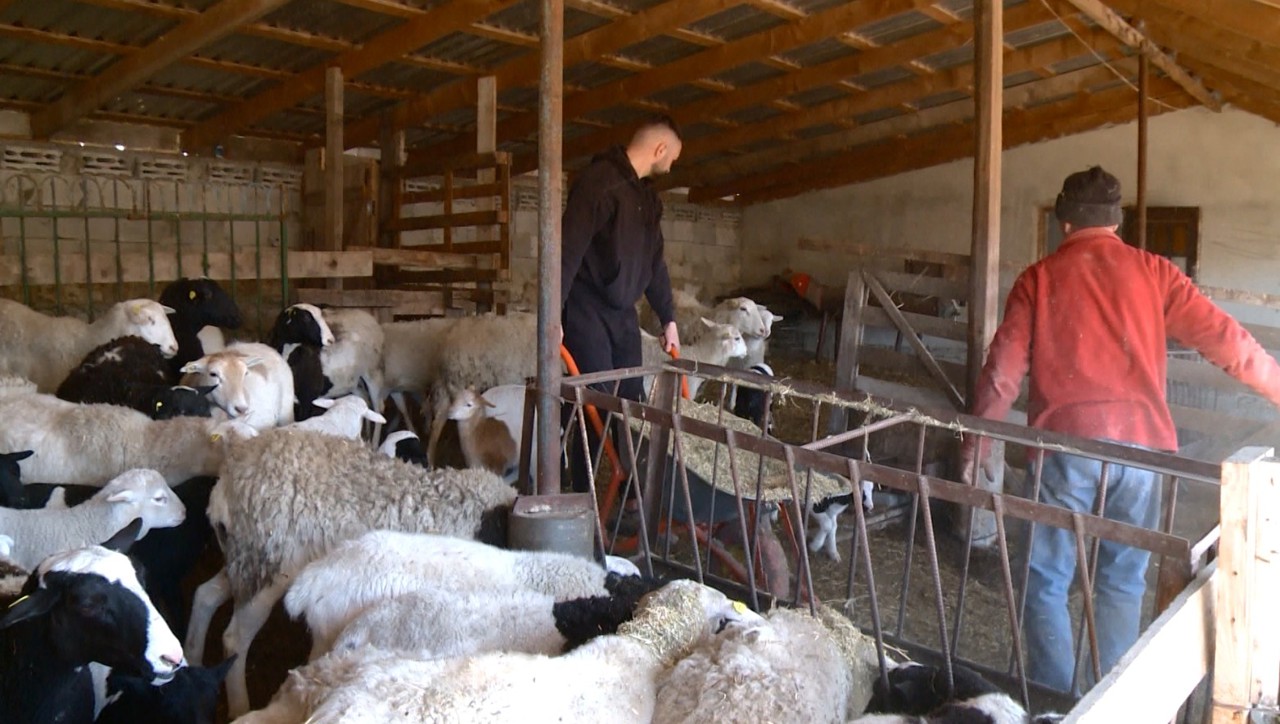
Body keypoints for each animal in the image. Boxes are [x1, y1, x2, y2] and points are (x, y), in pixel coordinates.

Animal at [185, 428, 518, 716]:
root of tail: (229, 476)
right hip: (268, 564)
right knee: (235, 637)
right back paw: (240, 706)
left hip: (244, 559)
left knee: (204, 595)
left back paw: (191, 657)